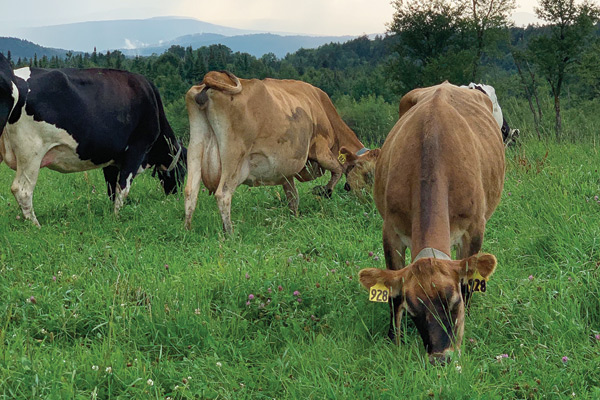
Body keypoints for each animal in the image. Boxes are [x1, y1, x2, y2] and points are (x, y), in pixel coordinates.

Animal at [0, 53, 186, 227]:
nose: (177, 195)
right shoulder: (137, 148)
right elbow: (123, 187)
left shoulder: (112, 160)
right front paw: (117, 217)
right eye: (184, 169)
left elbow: (112, 189)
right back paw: (35, 225)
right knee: (22, 190)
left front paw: (111, 214)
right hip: (31, 152)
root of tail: (13, 78)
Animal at [185, 70, 378, 233]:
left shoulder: (286, 169)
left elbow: (293, 197)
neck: (322, 107)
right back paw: (230, 234)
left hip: (195, 146)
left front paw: (295, 219)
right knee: (223, 194)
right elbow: (337, 169)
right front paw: (323, 191)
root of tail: (212, 77)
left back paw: (188, 231)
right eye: (370, 175)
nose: (372, 206)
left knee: (190, 191)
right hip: (234, 156)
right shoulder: (320, 148)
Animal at [358, 83, 504, 364]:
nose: (440, 357)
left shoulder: (474, 231)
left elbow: (468, 283)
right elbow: (392, 295)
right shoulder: (390, 230)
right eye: (413, 309)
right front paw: (394, 340)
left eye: (454, 303)